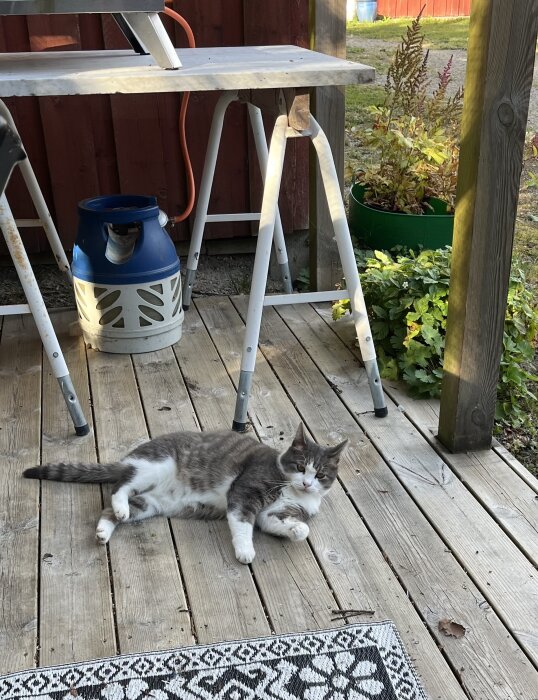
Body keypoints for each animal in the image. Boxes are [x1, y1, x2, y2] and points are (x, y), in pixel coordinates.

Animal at [23, 422, 346, 564]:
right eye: (300, 466)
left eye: (320, 475)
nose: (307, 483)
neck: (292, 490)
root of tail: (128, 458)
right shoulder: (244, 493)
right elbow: (242, 525)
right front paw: (245, 550)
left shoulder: (272, 514)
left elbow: (286, 524)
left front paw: (296, 530)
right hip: (155, 465)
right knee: (120, 486)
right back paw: (120, 505)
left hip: (150, 502)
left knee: (110, 507)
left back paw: (105, 529)